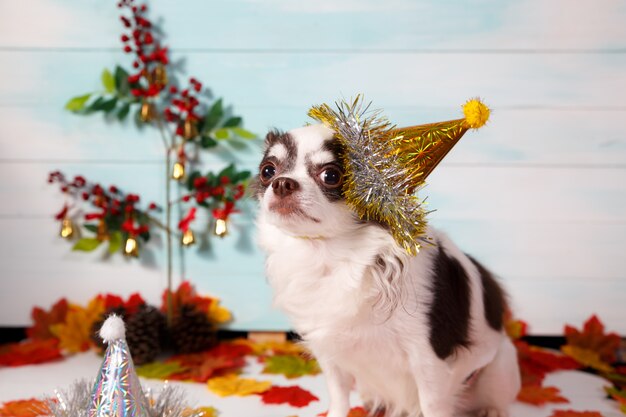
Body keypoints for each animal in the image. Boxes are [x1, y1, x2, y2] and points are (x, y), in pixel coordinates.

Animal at [254, 123, 520, 416]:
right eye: (267, 171)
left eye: (331, 175)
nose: (281, 183)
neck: (331, 255)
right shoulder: (329, 349)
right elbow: (338, 395)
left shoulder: (430, 356)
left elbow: (433, 404)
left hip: (501, 364)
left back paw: (491, 410)